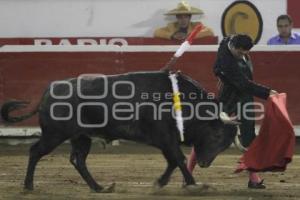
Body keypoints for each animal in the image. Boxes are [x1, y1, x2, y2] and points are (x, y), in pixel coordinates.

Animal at [0, 71, 237, 191]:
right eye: (216, 135)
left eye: (226, 145)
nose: (205, 163)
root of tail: (48, 90)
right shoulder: (165, 137)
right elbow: (179, 158)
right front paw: (194, 184)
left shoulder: (164, 141)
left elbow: (172, 161)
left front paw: (160, 182)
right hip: (54, 134)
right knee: (36, 152)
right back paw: (29, 186)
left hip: (81, 137)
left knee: (78, 159)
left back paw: (100, 188)